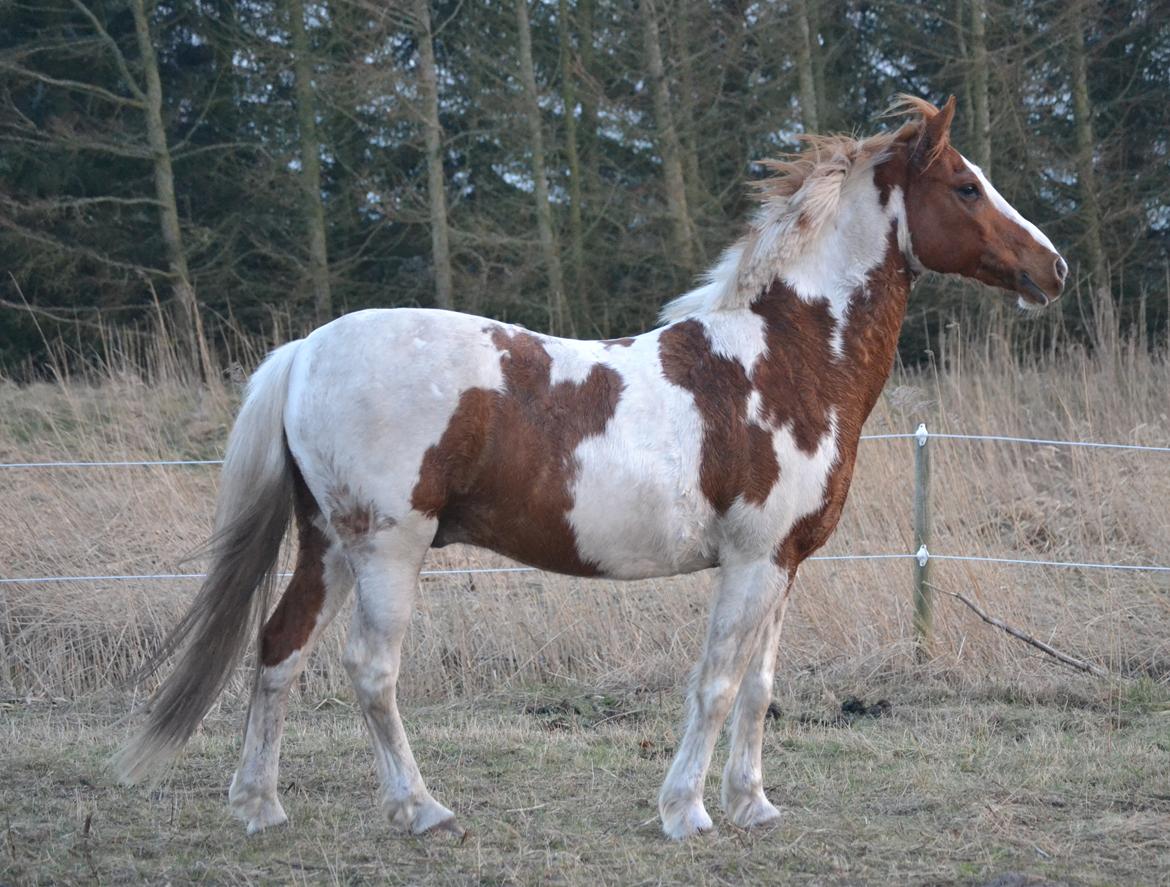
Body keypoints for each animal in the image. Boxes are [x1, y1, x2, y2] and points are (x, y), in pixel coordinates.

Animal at [114, 97, 1067, 842]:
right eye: (966, 186)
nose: (1052, 267)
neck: (784, 361)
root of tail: (306, 349)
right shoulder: (751, 560)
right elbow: (716, 684)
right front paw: (687, 812)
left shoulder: (785, 563)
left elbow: (757, 688)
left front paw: (754, 805)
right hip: (387, 549)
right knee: (369, 672)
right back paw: (422, 808)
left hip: (328, 544)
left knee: (280, 648)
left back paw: (260, 806)